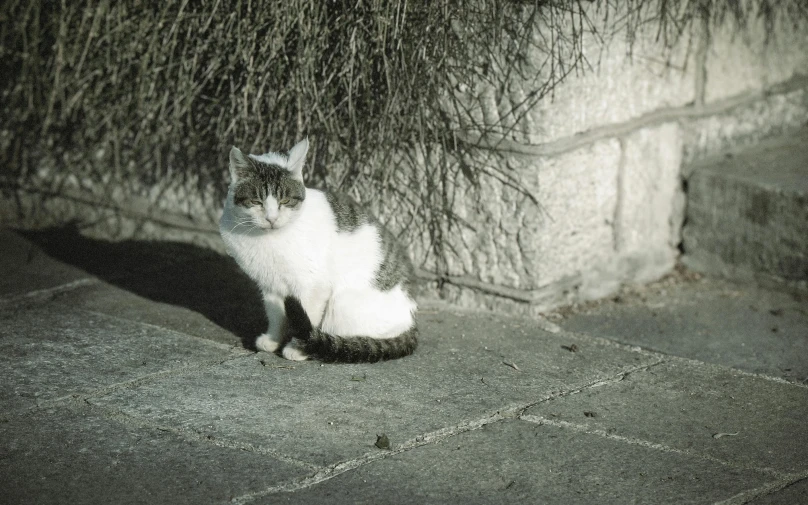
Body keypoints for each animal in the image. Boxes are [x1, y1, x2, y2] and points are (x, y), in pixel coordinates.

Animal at [218, 138, 420, 362]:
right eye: (256, 201)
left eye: (285, 201)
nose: (271, 218)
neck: (270, 238)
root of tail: (411, 323)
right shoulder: (271, 286)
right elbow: (276, 316)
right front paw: (272, 340)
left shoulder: (313, 287)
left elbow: (308, 319)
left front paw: (299, 348)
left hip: (341, 305)